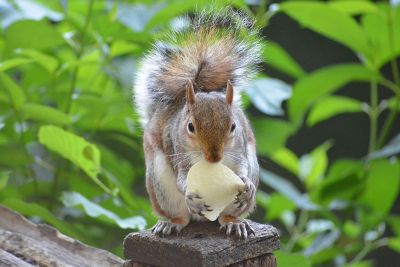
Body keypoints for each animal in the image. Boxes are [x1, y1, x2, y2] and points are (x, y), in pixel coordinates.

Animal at [133, 7, 260, 240]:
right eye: (190, 127)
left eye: (233, 126)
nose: (214, 157)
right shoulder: (178, 150)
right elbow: (182, 179)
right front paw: (190, 194)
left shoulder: (240, 149)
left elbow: (243, 167)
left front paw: (246, 184)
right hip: (161, 186)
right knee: (181, 216)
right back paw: (171, 224)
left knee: (226, 216)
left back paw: (234, 222)